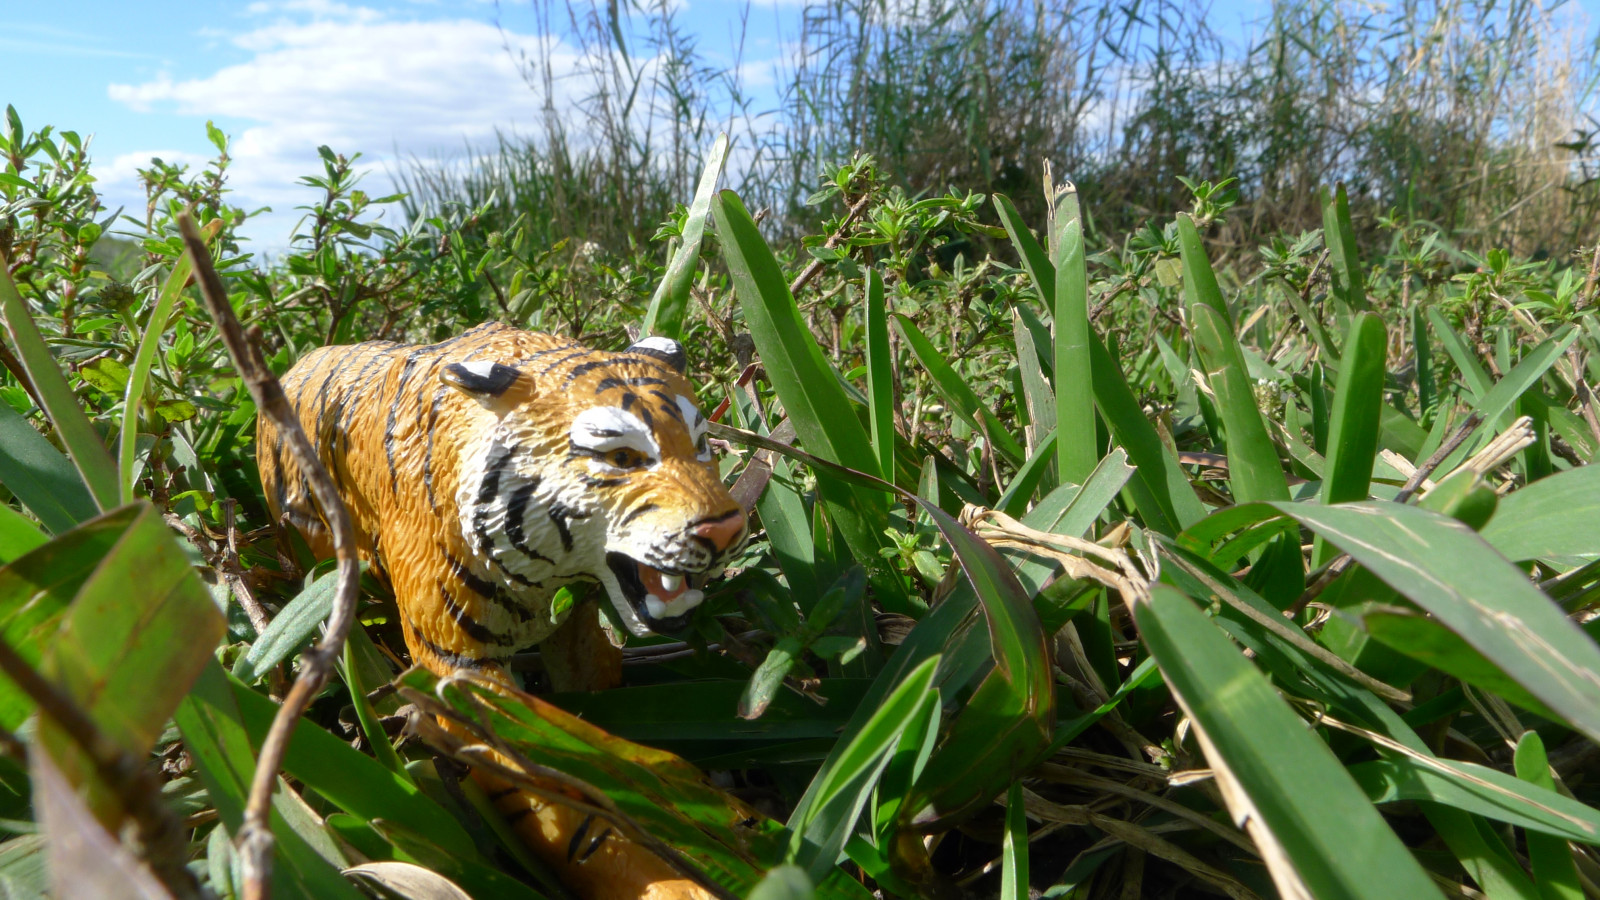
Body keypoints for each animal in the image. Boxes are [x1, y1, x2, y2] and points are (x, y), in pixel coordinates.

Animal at [257, 321, 750, 899]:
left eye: (701, 446)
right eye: (622, 458)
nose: (726, 528)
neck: (543, 571)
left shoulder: (574, 622)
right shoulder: (457, 665)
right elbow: (560, 800)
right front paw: (670, 879)